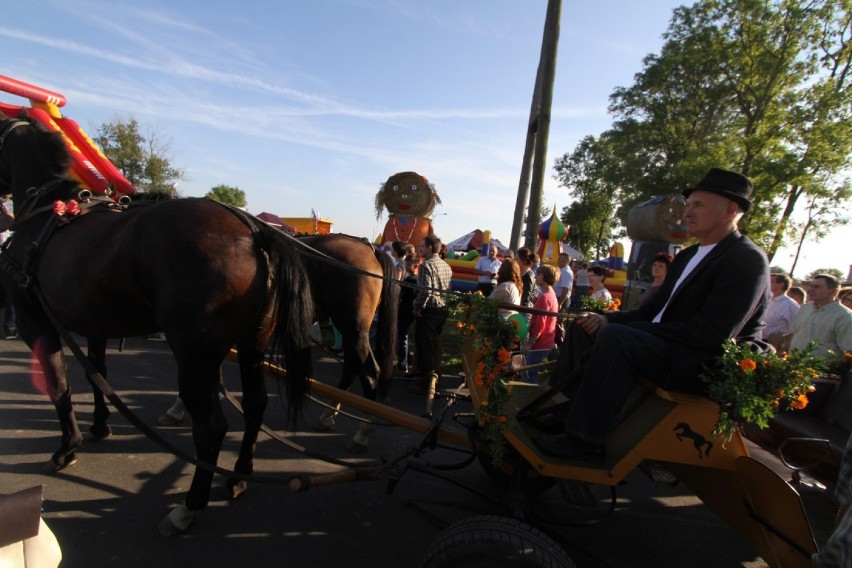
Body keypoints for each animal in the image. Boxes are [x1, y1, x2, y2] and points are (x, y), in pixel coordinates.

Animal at [0, 112, 316, 536]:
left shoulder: (35, 321)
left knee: (211, 427)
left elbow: (59, 385)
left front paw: (67, 448)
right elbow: (96, 376)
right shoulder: (95, 323)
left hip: (195, 356)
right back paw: (238, 477)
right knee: (254, 407)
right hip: (252, 345)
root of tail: (254, 231)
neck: (47, 216)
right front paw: (99, 426)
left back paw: (191, 505)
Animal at [300, 233, 400, 450]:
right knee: (352, 368)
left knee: (369, 373)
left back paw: (362, 433)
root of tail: (370, 249)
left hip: (352, 328)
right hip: (354, 332)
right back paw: (328, 415)